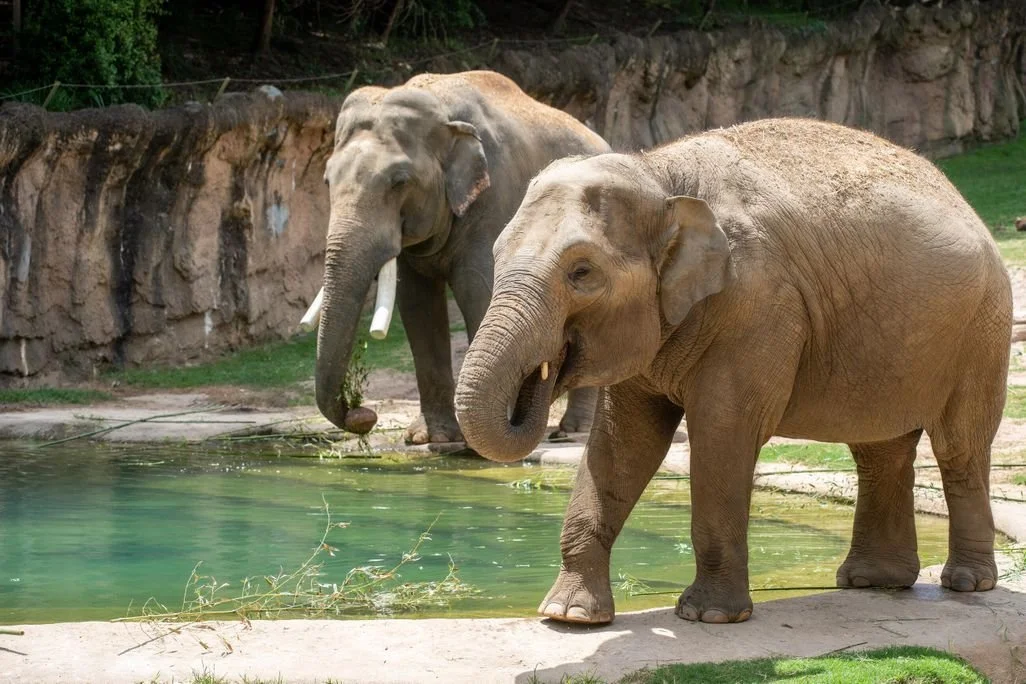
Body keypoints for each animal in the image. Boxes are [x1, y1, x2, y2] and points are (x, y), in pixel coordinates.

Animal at [314, 70, 608, 444]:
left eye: (399, 181)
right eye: (327, 180)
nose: (364, 414)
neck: (440, 108)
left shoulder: (494, 198)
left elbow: (477, 289)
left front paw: (483, 438)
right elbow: (417, 303)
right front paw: (432, 439)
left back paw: (571, 432)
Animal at [455, 118, 1012, 625]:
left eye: (582, 272)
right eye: (497, 255)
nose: (543, 376)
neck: (658, 174)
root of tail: (961, 199)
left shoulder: (759, 303)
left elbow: (723, 431)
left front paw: (708, 617)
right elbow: (623, 441)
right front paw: (568, 616)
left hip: (983, 329)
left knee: (959, 446)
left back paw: (966, 584)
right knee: (880, 449)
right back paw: (874, 582)